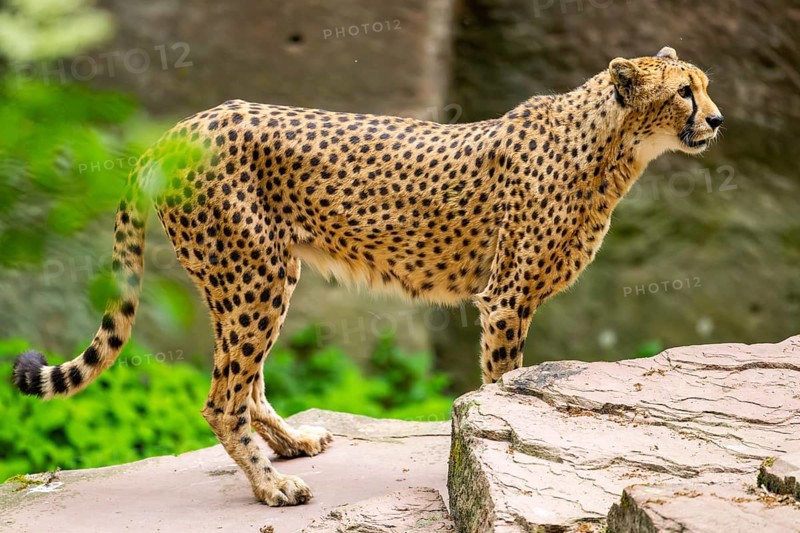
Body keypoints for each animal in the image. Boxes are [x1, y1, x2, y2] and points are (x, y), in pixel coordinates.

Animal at [13, 46, 722, 506]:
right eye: (683, 91)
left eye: (705, 85)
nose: (716, 119)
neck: (612, 146)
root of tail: (186, 125)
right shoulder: (506, 298)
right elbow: (501, 383)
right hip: (255, 274)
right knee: (222, 398)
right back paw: (272, 485)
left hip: (250, 276)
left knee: (245, 382)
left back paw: (292, 444)